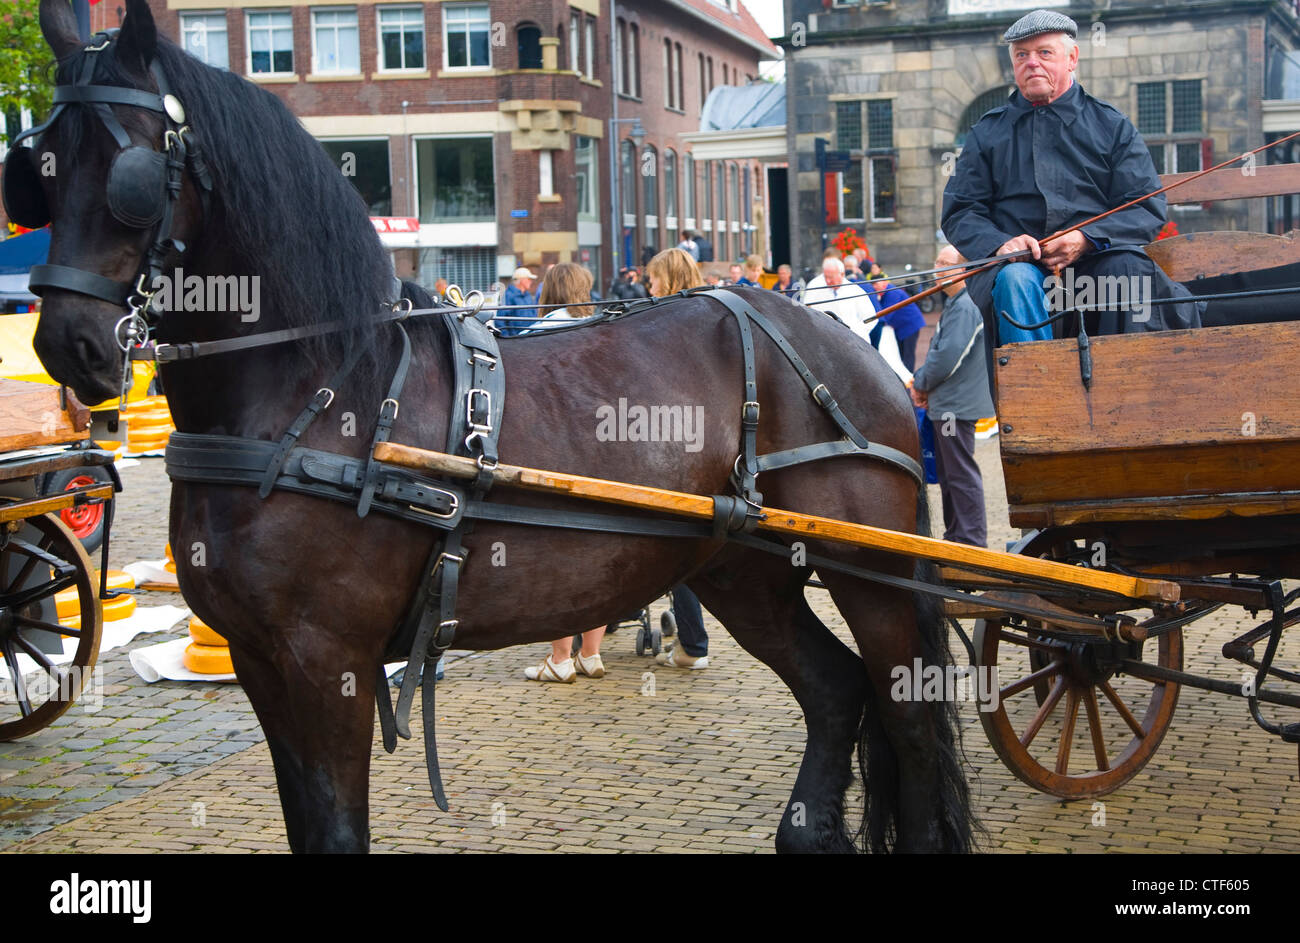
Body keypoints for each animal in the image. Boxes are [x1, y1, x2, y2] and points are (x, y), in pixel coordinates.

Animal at [25, 0, 972, 853]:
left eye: (130, 170)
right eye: (35, 168)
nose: (66, 343)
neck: (321, 396)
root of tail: (850, 341)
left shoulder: (325, 662)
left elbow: (335, 828)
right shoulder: (262, 661)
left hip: (870, 569)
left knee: (908, 715)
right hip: (741, 568)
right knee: (836, 692)